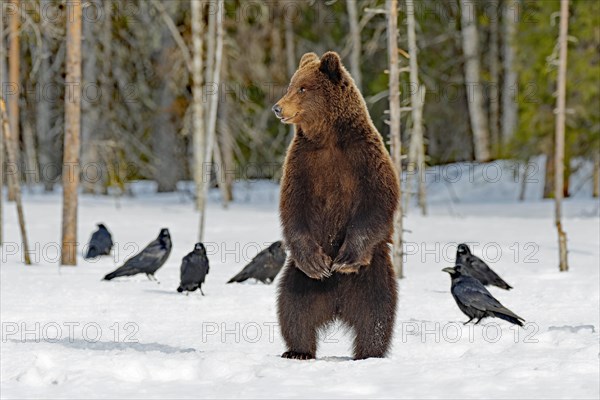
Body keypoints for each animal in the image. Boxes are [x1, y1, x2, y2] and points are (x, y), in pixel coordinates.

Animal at [274, 50, 400, 360]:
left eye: (303, 88)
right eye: (291, 85)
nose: (278, 108)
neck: (328, 137)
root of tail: (337, 305)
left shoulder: (364, 157)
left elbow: (378, 201)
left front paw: (344, 259)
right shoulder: (303, 163)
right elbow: (293, 208)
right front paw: (318, 264)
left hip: (373, 273)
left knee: (376, 313)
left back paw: (368, 352)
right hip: (301, 280)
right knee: (293, 308)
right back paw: (298, 350)